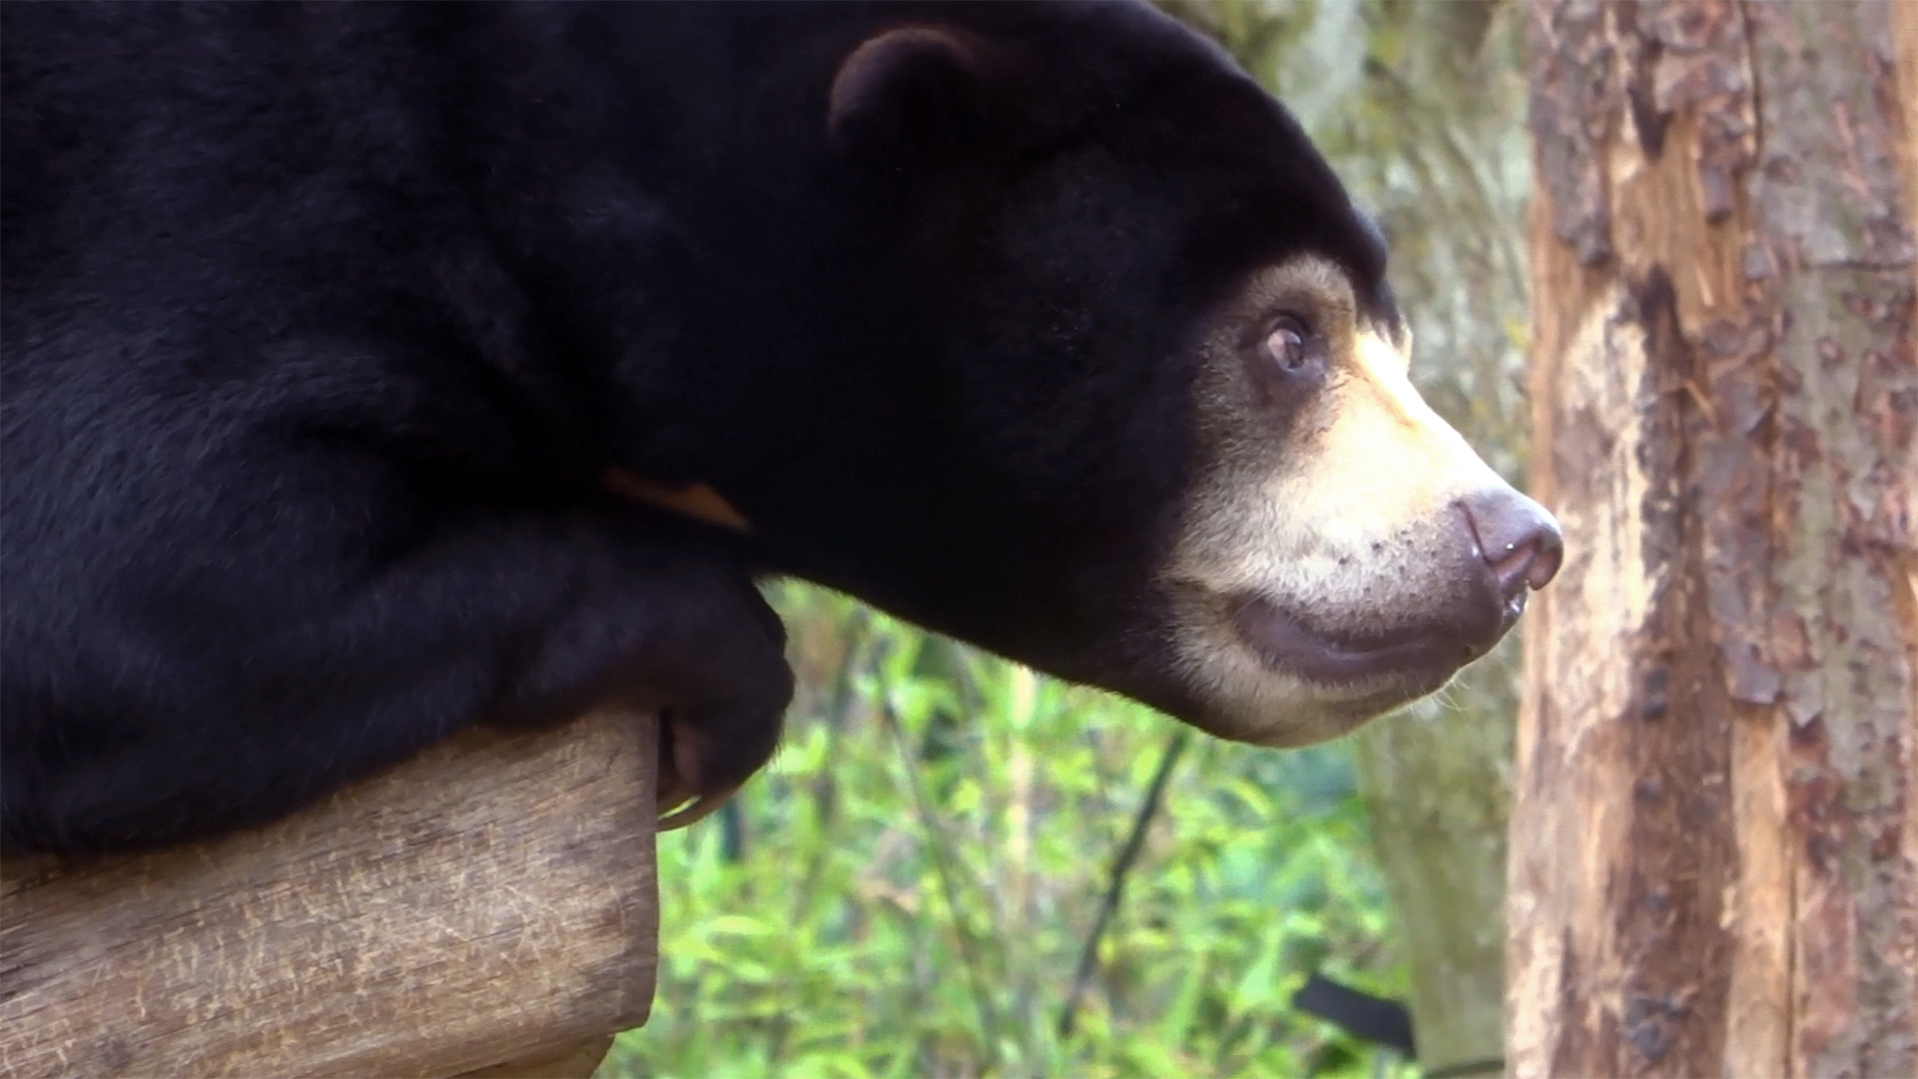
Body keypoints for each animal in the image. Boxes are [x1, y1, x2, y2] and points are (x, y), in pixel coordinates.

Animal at [0, 0, 1561, 855]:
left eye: (1388, 332)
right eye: (1287, 338)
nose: (1515, 542)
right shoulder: (208, 193)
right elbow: (123, 589)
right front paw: (727, 675)